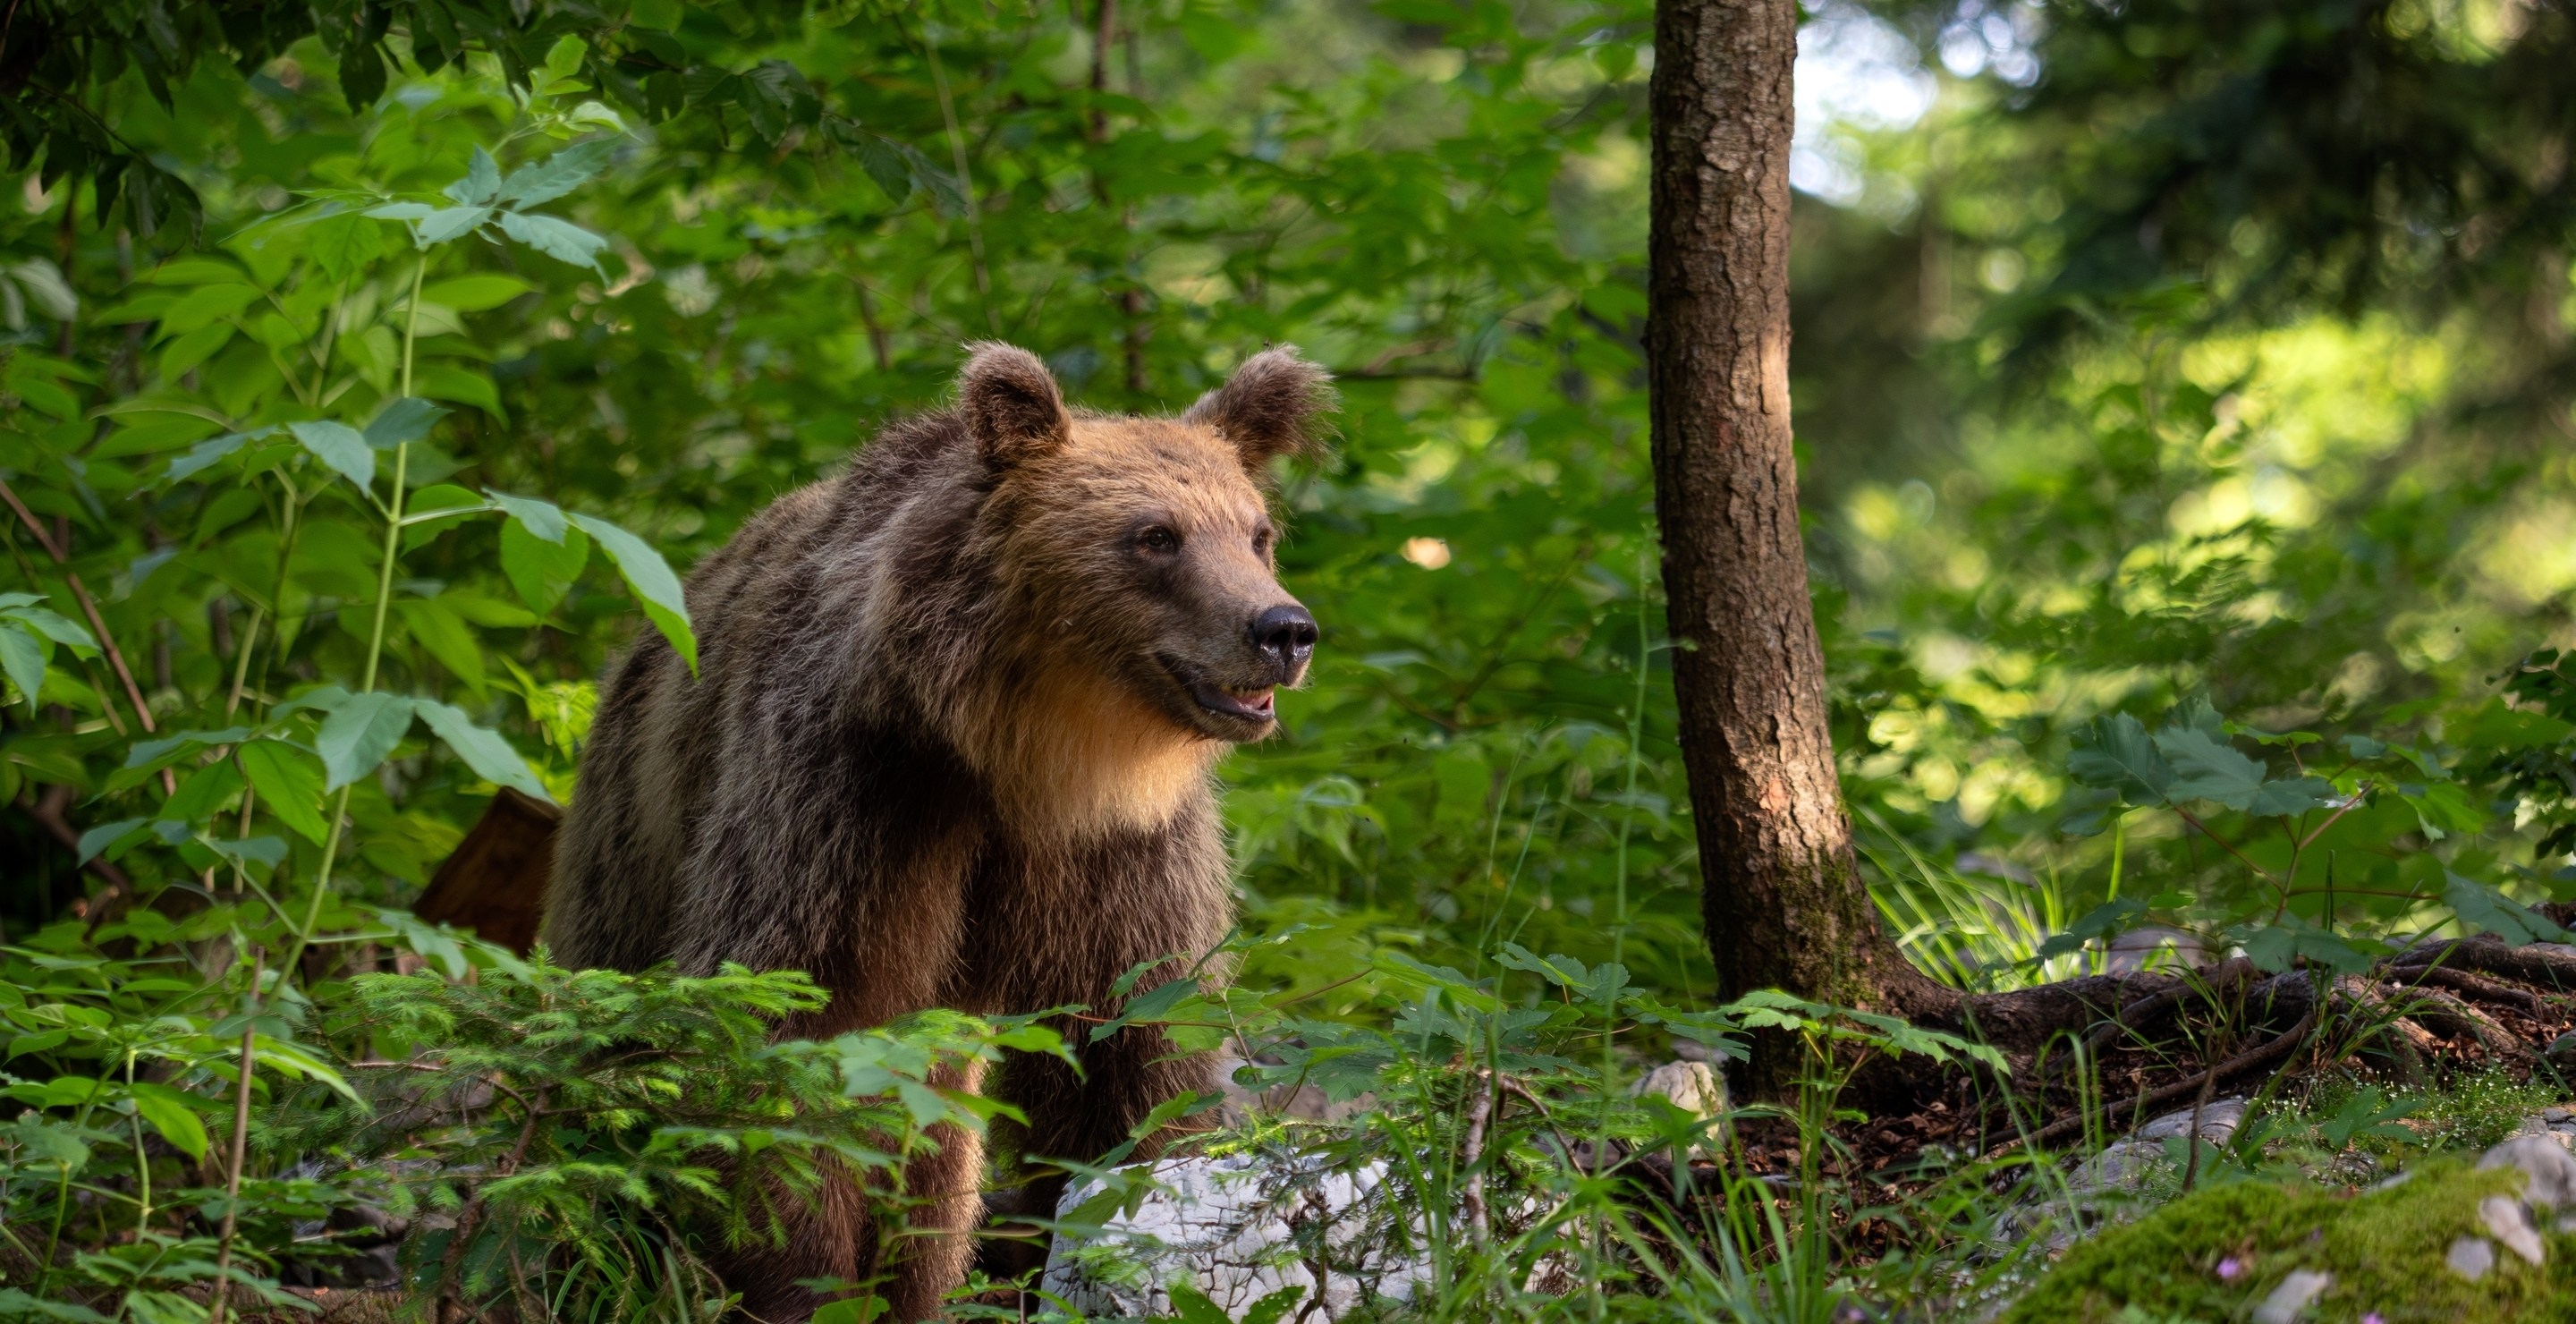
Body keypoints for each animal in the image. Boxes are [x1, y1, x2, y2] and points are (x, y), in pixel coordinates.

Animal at [543, 342, 1332, 1322]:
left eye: (1256, 533)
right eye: (1156, 535)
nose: (1283, 629)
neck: (1029, 758)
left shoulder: (1121, 857)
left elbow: (1133, 1051)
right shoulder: (854, 799)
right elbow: (798, 1026)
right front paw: (803, 1282)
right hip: (632, 838)